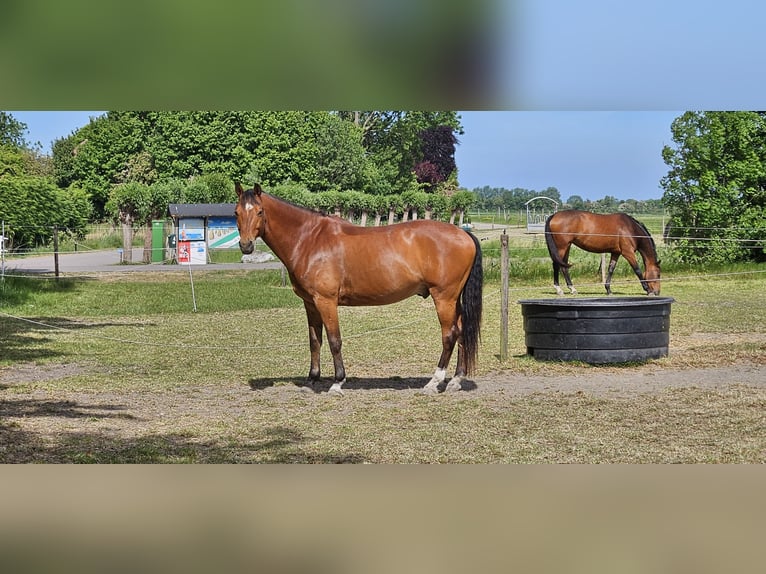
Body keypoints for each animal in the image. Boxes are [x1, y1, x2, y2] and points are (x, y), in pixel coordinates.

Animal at [235, 183, 483, 395]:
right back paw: (455, 380)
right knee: (461, 332)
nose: (246, 246)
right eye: (237, 212)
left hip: (444, 298)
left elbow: (334, 340)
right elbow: (315, 341)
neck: (310, 239)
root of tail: (463, 233)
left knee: (449, 335)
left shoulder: (326, 301)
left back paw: (433, 382)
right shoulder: (310, 303)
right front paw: (312, 380)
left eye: (259, 212)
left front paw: (337, 383)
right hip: (453, 300)